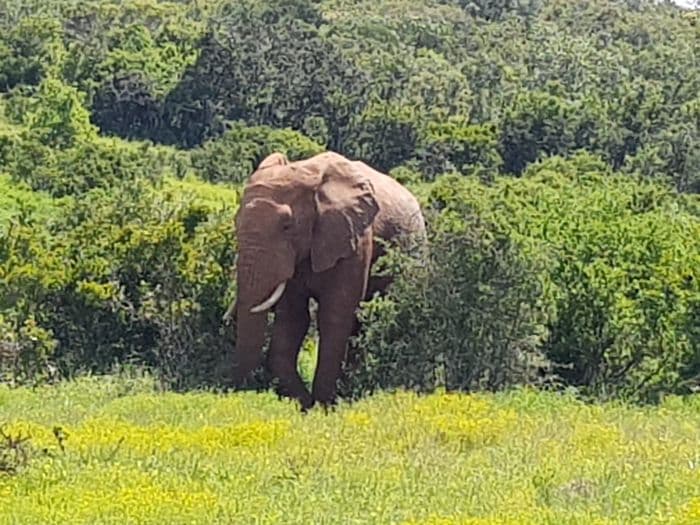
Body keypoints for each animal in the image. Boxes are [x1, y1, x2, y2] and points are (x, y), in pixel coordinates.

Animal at [223, 150, 426, 410]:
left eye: (287, 226)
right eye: (235, 222)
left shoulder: (354, 237)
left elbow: (335, 314)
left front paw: (324, 406)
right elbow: (294, 318)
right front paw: (305, 403)